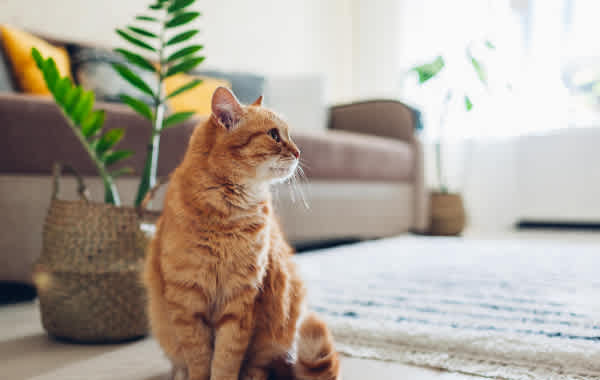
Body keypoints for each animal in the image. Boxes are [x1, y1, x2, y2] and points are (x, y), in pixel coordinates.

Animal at [144, 87, 340, 380]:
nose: (298, 151)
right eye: (274, 135)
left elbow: (226, 359)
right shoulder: (188, 302)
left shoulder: (241, 301)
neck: (227, 216)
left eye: (289, 135)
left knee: (260, 365)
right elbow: (199, 360)